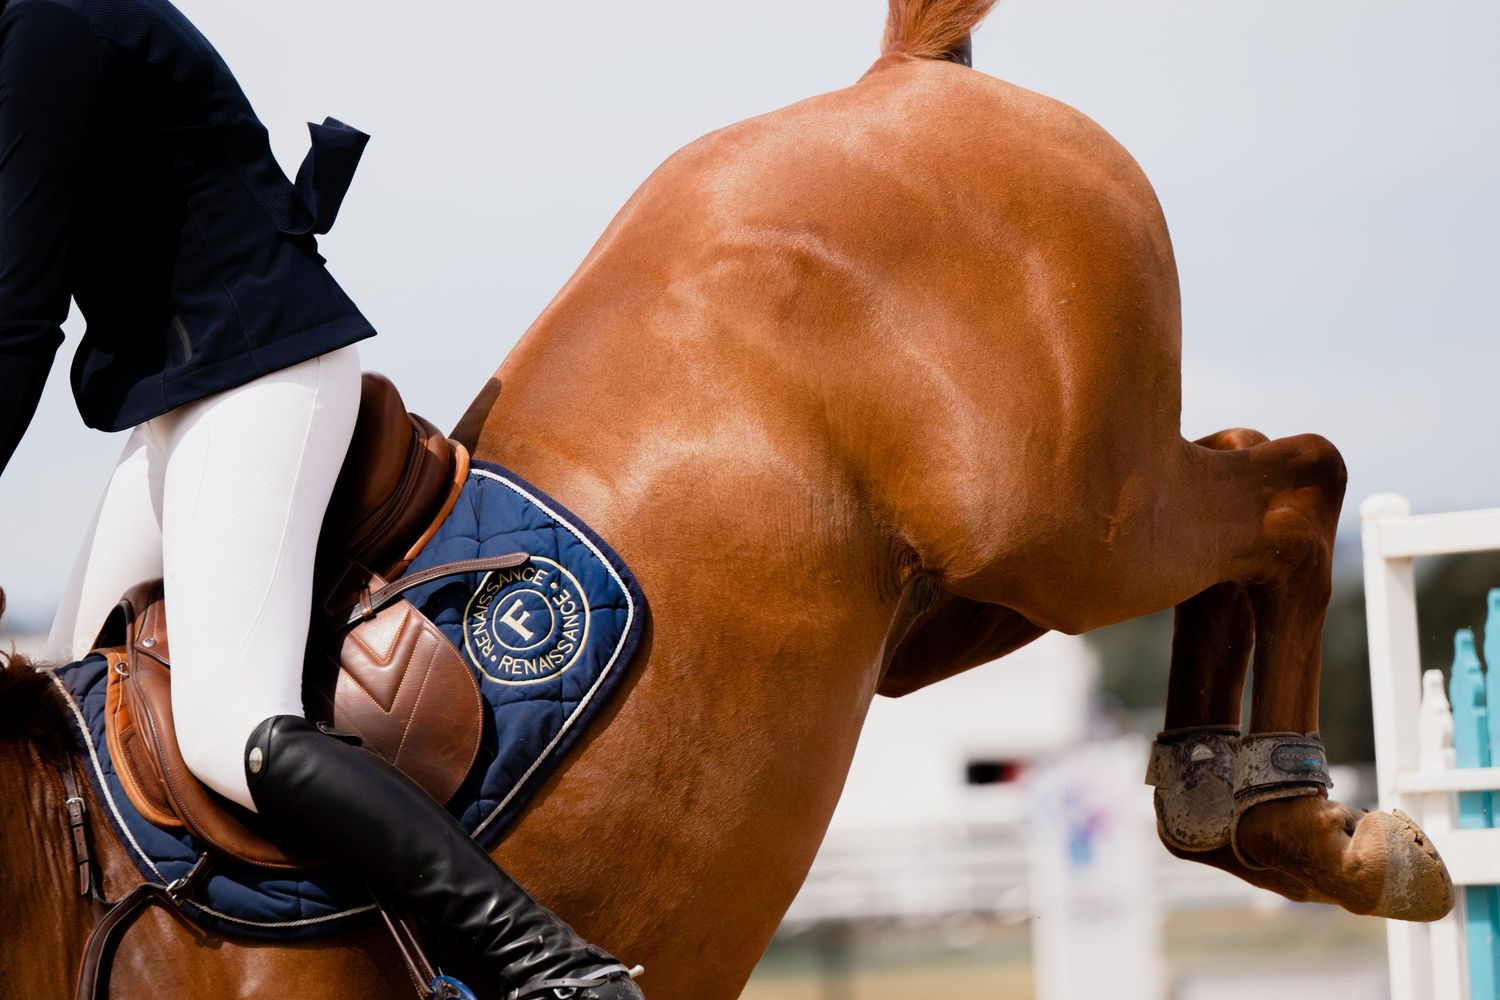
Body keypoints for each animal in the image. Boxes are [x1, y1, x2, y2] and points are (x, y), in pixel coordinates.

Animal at [0, 1, 1452, 997]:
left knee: (1296, 481)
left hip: (1076, 524)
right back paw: (1230, 789)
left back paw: (1307, 826)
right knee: (1245, 504)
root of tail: (900, 77)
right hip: (952, 602)